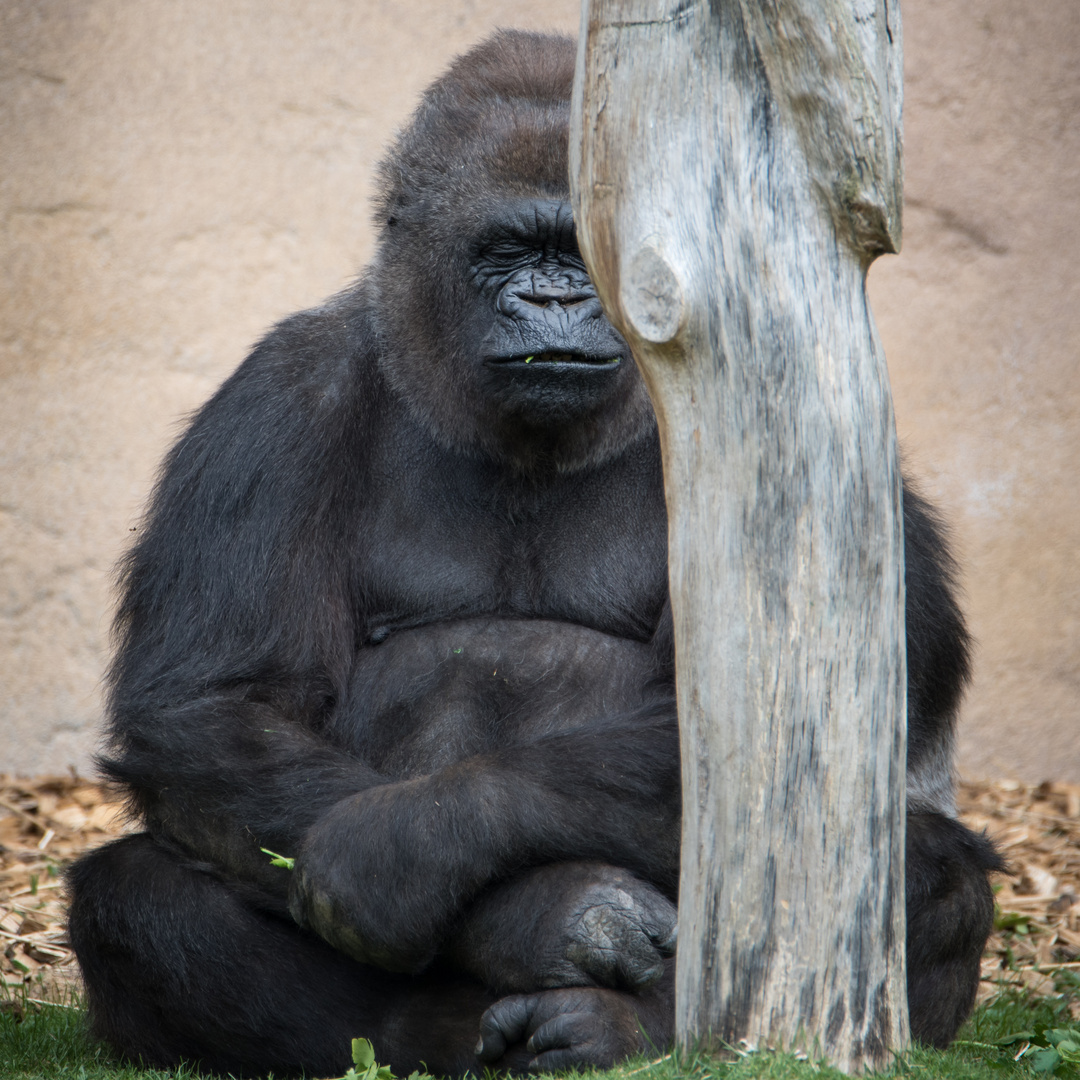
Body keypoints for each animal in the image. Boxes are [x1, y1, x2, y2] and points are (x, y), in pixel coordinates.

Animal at [65, 29, 993, 1075]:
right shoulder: (274, 403)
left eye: (583, 255)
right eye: (510, 250)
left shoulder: (808, 414)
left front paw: (408, 844)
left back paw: (614, 1027)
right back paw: (433, 1028)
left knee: (928, 876)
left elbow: (781, 717)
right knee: (140, 900)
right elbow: (212, 708)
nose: (555, 297)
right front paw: (544, 914)